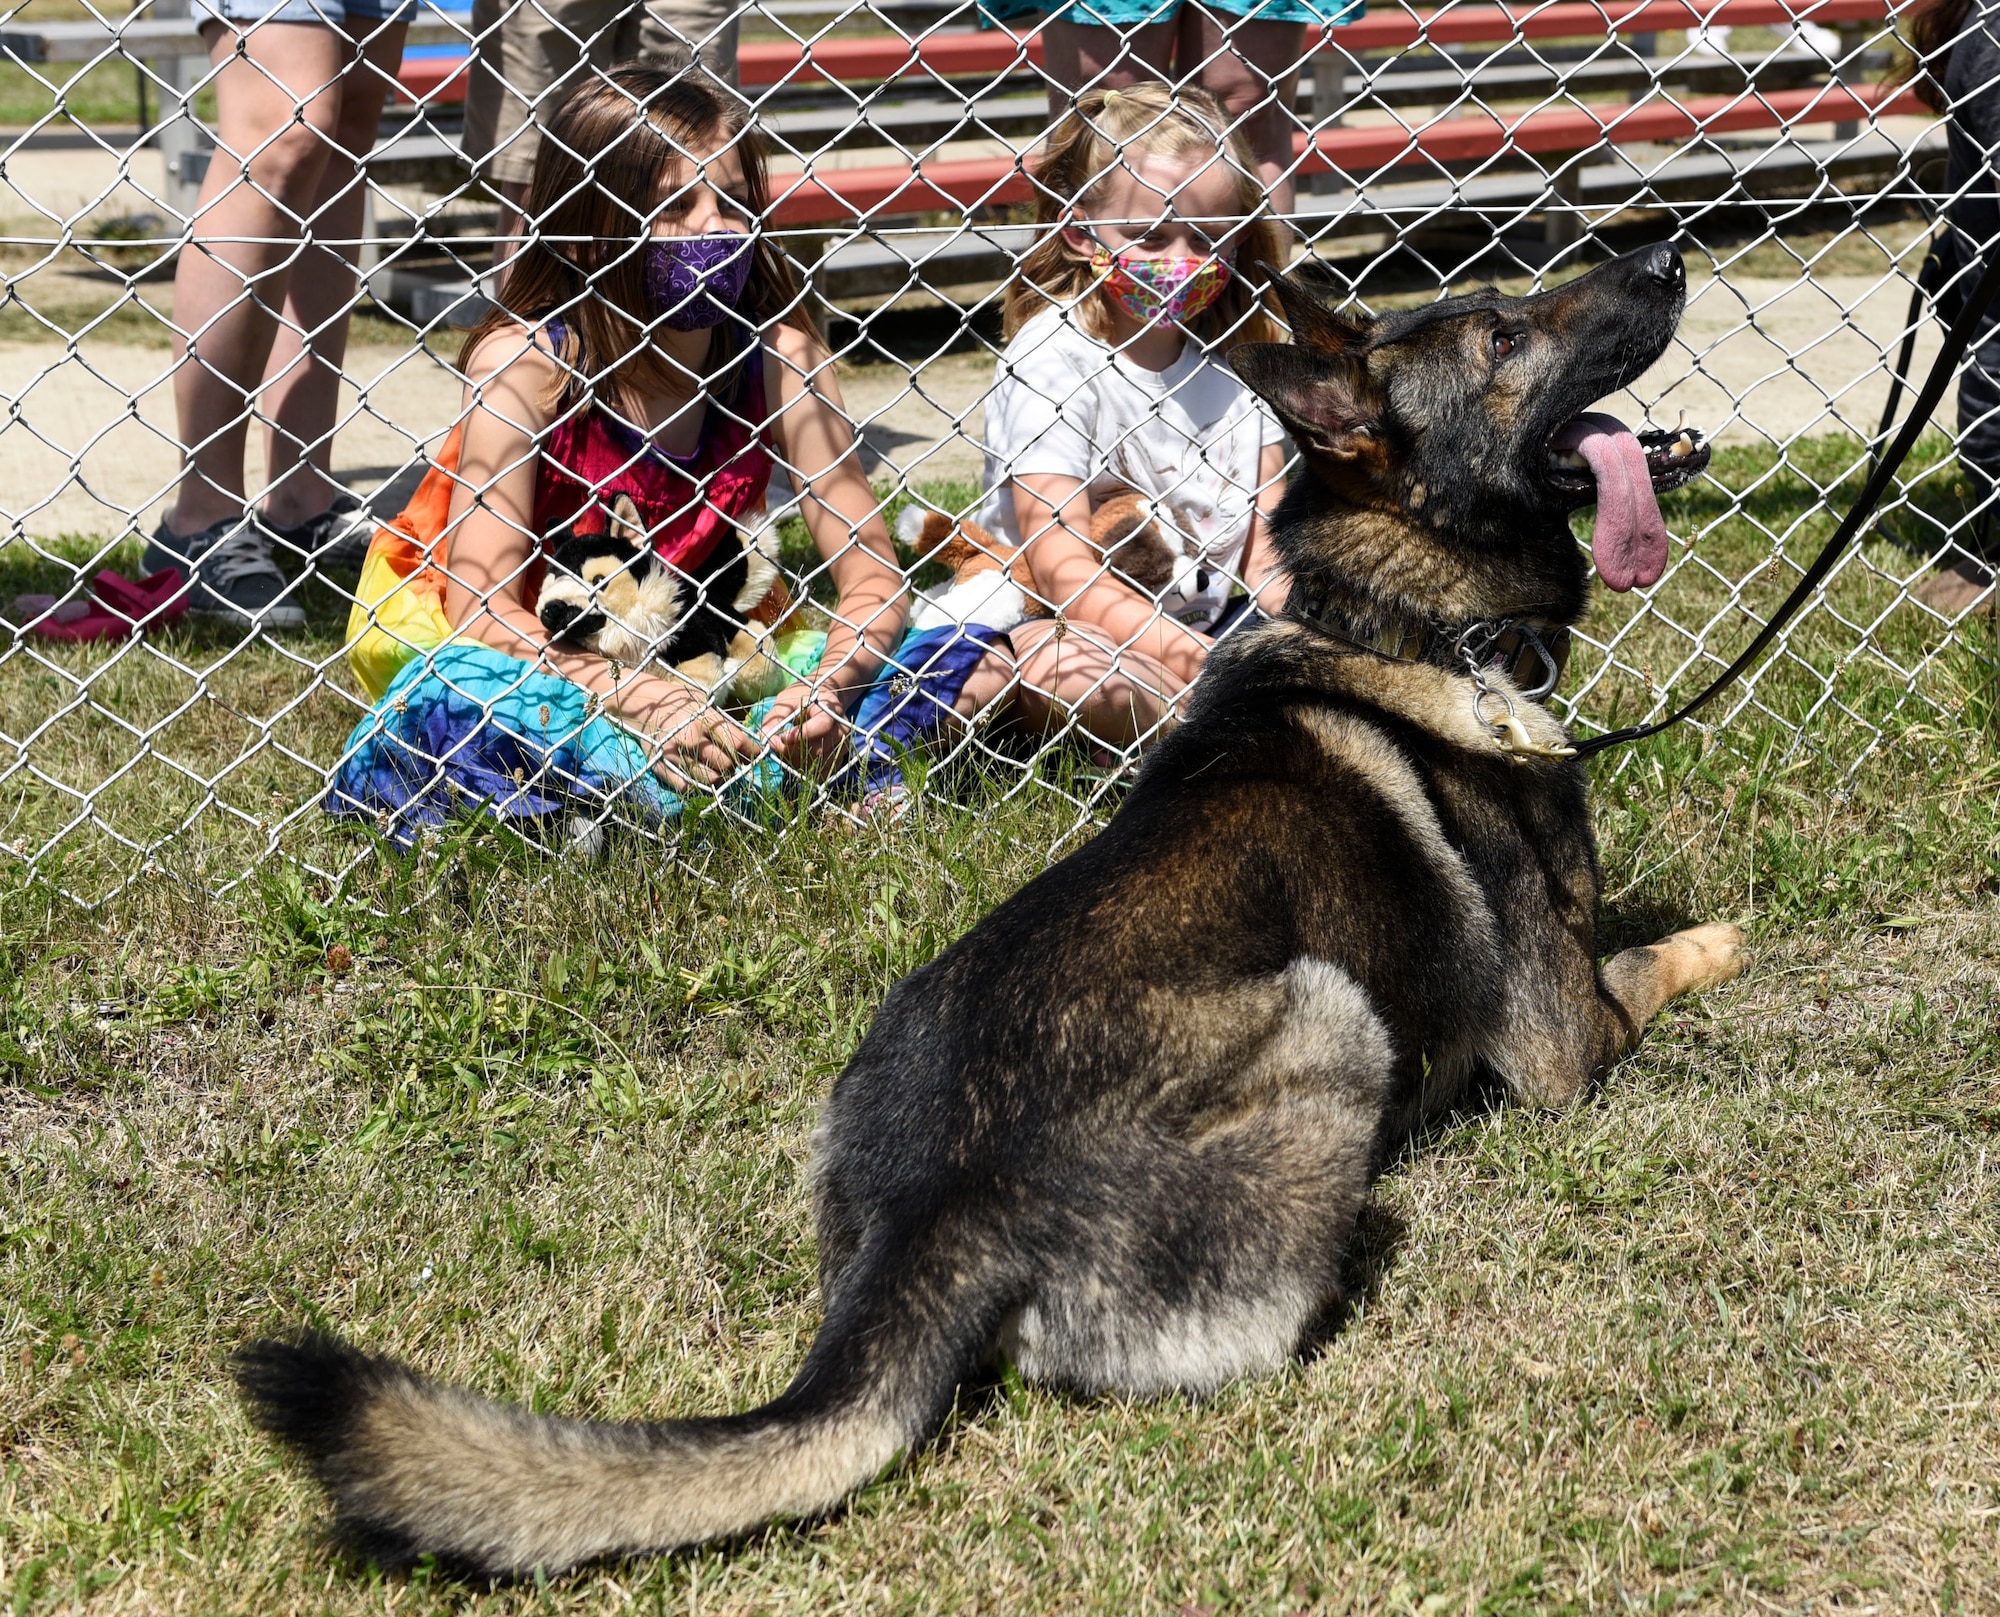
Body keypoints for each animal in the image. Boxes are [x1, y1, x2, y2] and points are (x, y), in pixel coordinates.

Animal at [234, 243, 1736, 1576]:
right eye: (1500, 335)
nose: (1667, 255)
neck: (1409, 624)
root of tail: (946, 1203)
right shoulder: (1558, 1040)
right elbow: (1647, 963)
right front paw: (1718, 940)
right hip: (1332, 1017)